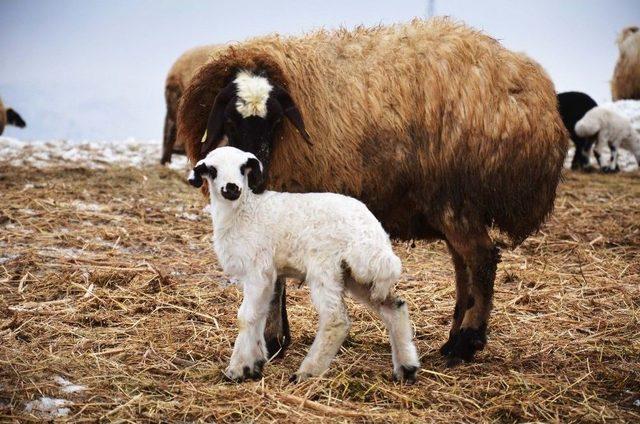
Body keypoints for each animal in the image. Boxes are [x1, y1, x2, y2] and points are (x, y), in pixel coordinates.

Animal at [188, 146, 422, 384]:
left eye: (243, 168)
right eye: (212, 170)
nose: (232, 188)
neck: (245, 211)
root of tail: (373, 233)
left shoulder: (257, 269)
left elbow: (245, 317)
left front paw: (237, 369)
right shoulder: (268, 275)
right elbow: (260, 315)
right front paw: (254, 365)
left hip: (325, 267)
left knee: (336, 320)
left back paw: (307, 371)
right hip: (356, 275)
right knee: (394, 307)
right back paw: (406, 368)